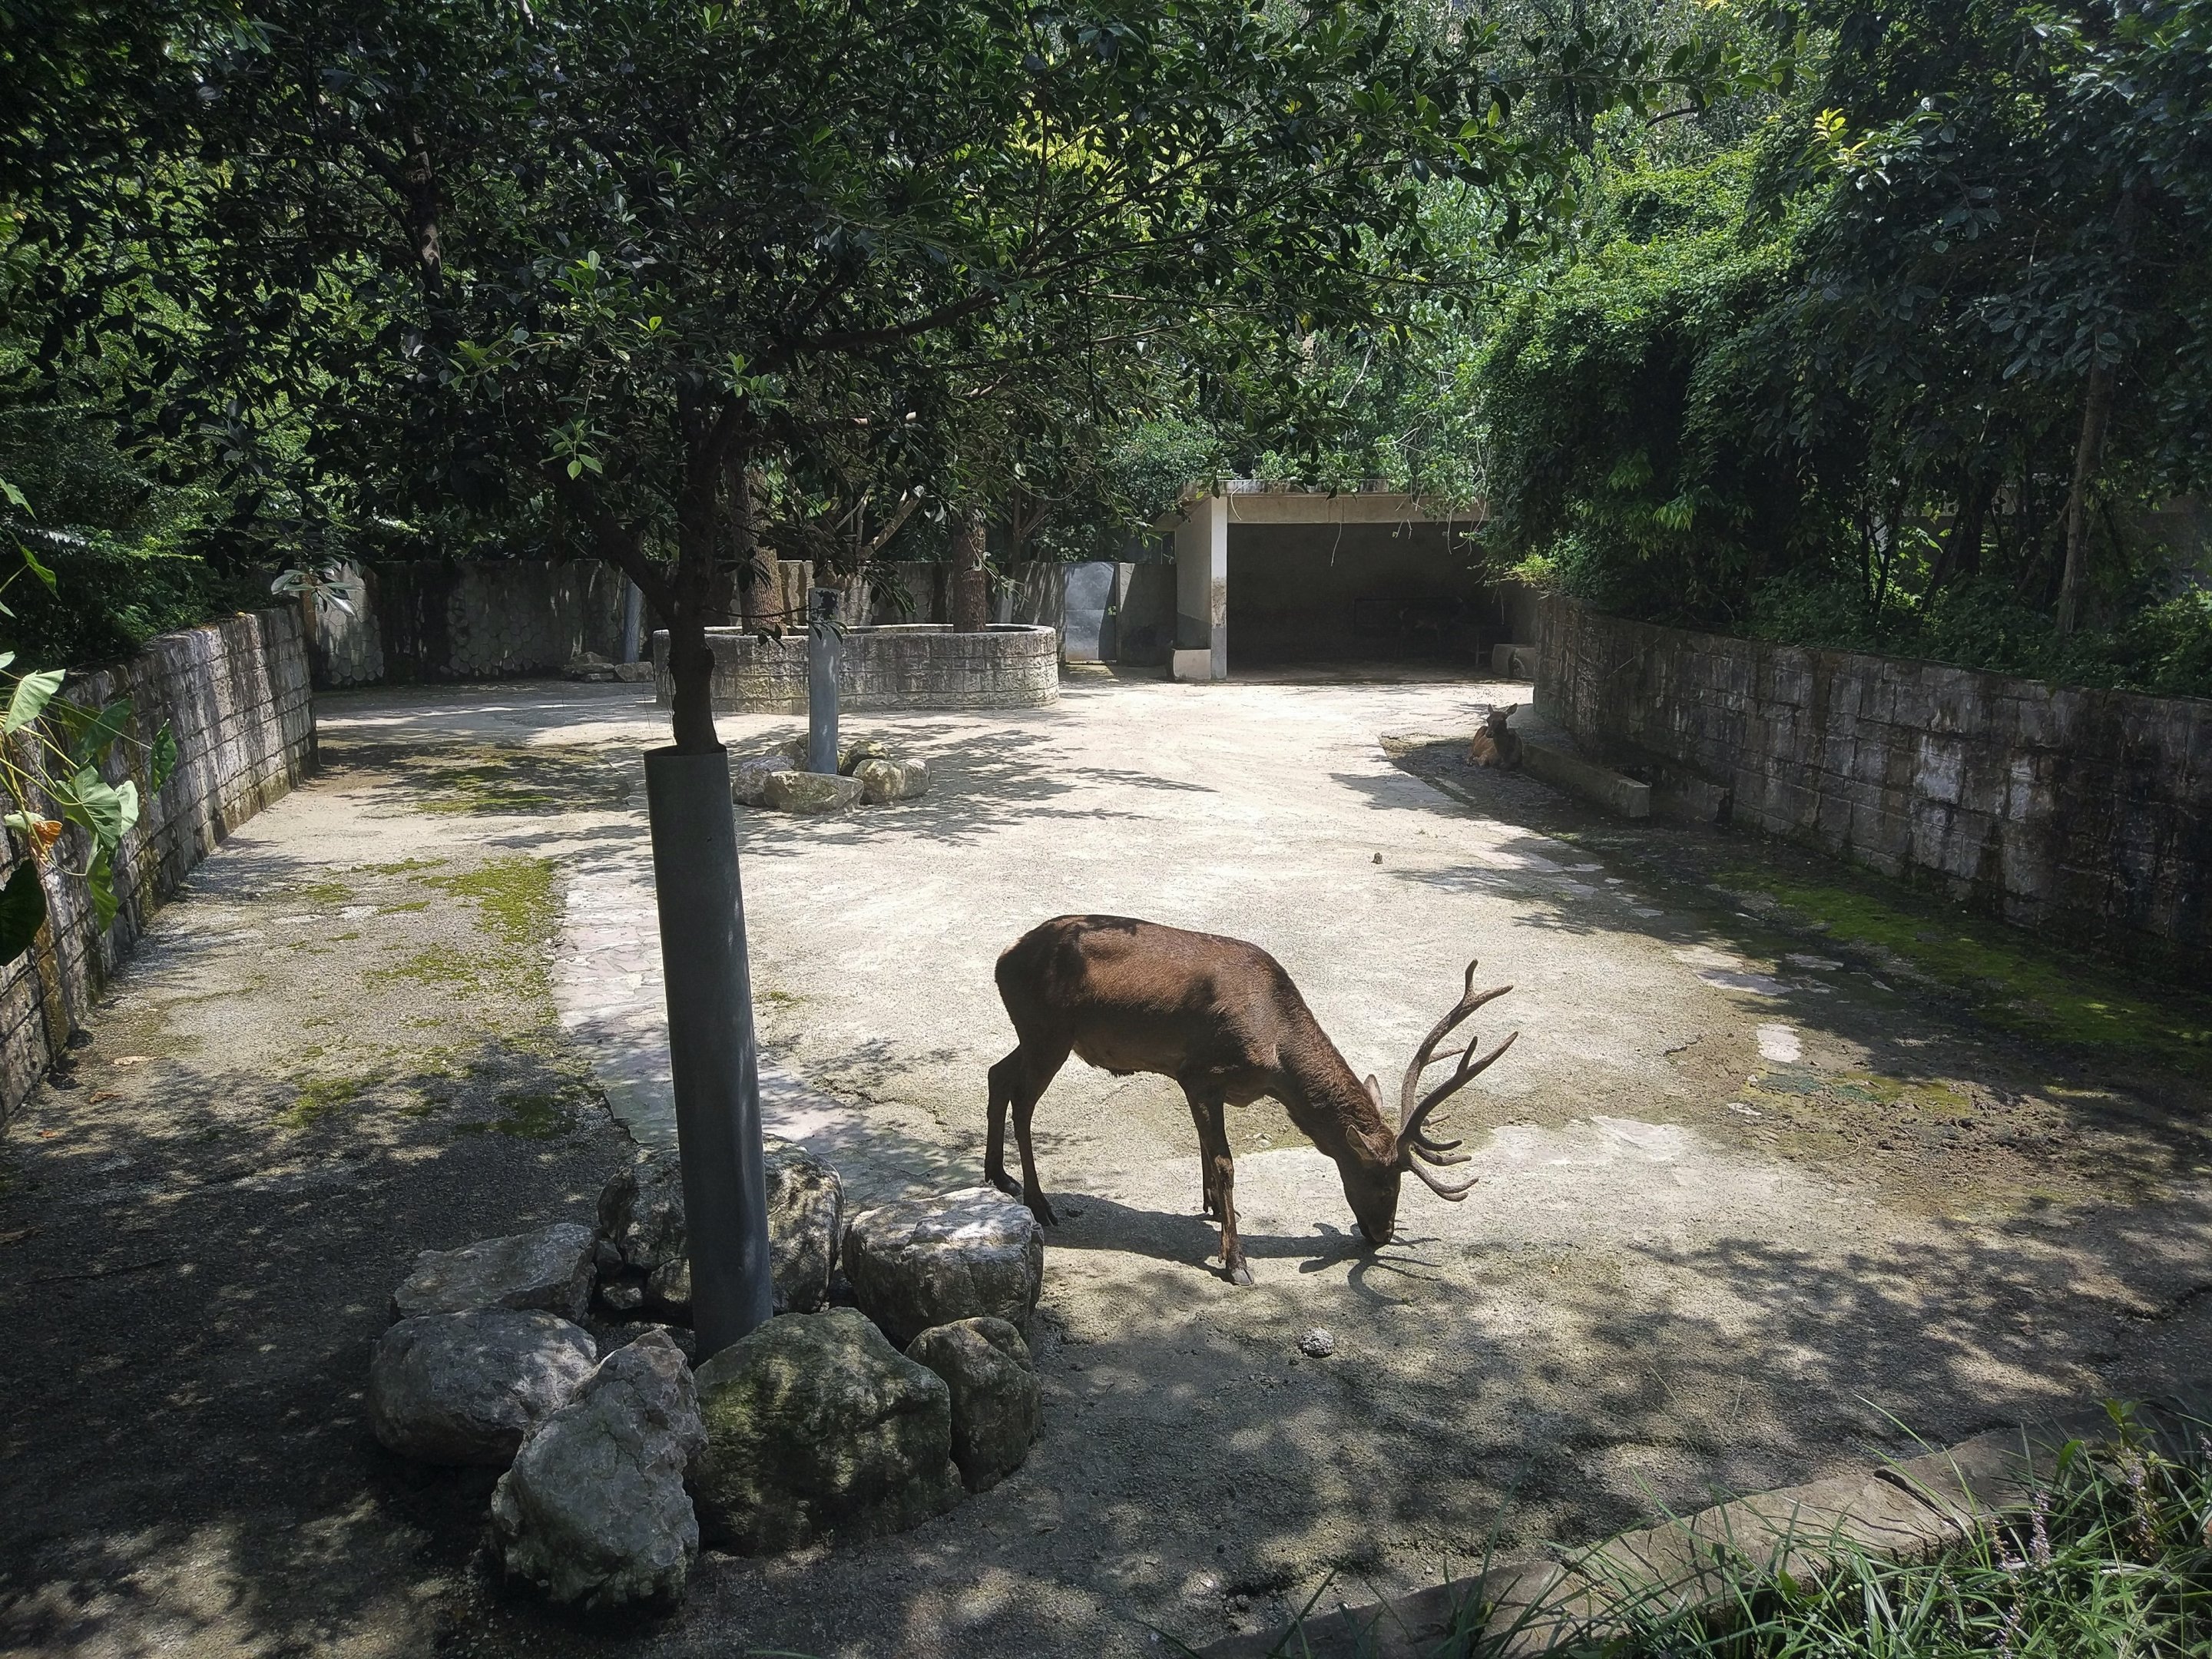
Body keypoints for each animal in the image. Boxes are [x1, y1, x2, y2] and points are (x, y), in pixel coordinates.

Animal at [984, 915, 1517, 1285]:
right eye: (1383, 1181)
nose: (1383, 1233)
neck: (1273, 1055)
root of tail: (1002, 958)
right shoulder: (1200, 1073)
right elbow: (1225, 1163)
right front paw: (1236, 1261)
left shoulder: (1205, 1083)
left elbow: (1207, 1152)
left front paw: (1217, 1210)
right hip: (1050, 1032)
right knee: (1024, 1099)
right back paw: (1039, 1202)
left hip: (1038, 1034)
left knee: (997, 1074)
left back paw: (998, 1176)